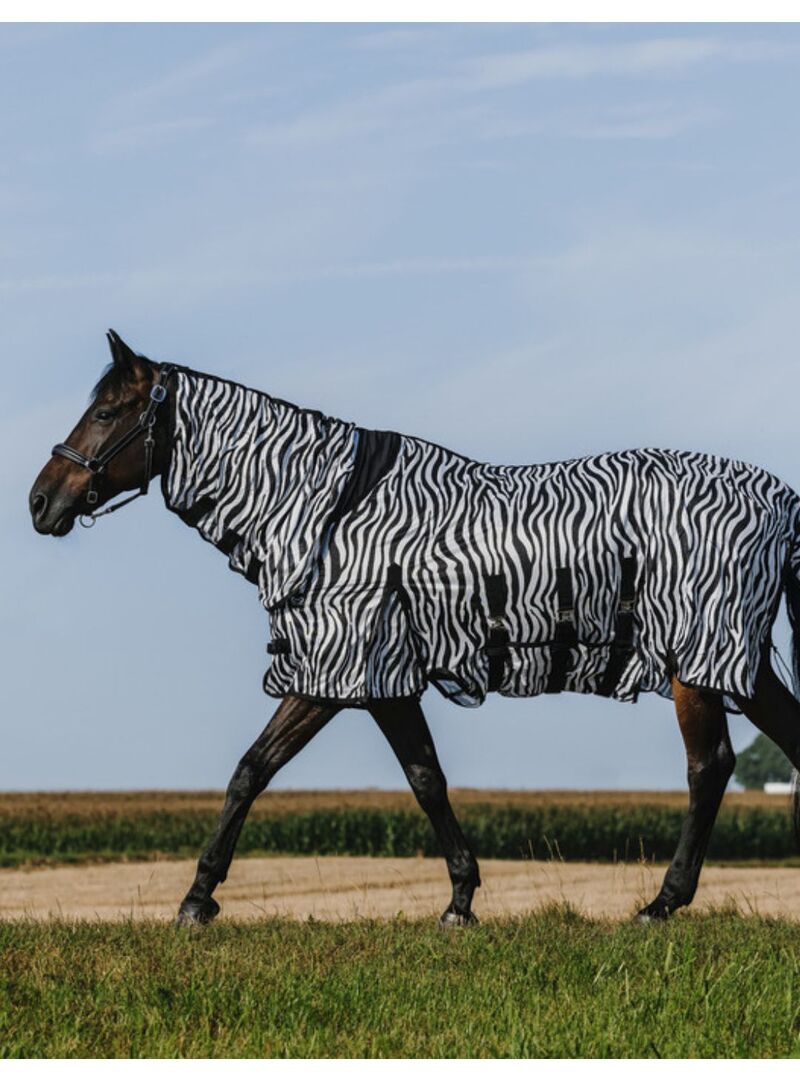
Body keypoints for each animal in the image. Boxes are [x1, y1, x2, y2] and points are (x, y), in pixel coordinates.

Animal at [29, 330, 800, 928]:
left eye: (107, 411)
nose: (40, 501)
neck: (329, 512)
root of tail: (779, 499)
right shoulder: (362, 675)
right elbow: (371, 773)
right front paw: (459, 900)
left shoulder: (348, 667)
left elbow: (310, 773)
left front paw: (197, 901)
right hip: (745, 665)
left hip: (698, 660)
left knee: (709, 767)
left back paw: (661, 903)